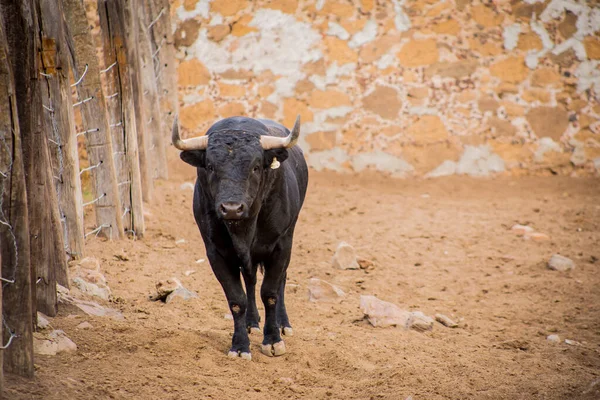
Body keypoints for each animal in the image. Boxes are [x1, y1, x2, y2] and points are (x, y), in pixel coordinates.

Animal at [171, 115, 308, 360]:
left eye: (255, 167)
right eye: (210, 166)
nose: (232, 208)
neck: (243, 230)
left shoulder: (280, 246)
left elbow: (270, 292)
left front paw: (273, 340)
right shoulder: (216, 253)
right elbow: (237, 299)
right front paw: (240, 345)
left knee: (280, 281)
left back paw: (283, 323)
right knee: (250, 280)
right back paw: (251, 322)